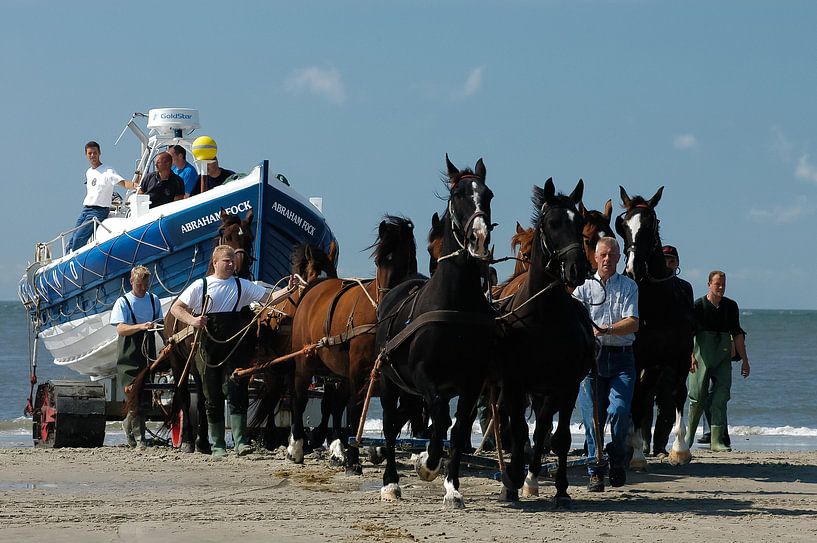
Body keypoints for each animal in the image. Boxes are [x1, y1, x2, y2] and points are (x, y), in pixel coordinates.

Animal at [286, 215, 420, 474]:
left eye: (408, 260)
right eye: (378, 261)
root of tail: (314, 289)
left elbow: (400, 412)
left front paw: (368, 451)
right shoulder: (357, 368)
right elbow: (356, 408)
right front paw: (354, 458)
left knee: (333, 405)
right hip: (305, 360)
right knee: (300, 398)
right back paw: (296, 446)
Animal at [372, 155, 494, 508]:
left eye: (488, 195)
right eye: (457, 195)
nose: (479, 238)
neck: (454, 302)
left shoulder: (471, 382)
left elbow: (457, 428)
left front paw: (452, 486)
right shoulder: (425, 376)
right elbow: (440, 417)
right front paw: (427, 464)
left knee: (407, 417)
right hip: (389, 381)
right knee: (389, 423)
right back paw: (391, 482)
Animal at [490, 178, 592, 506]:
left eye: (580, 223)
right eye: (552, 223)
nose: (578, 269)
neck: (542, 316)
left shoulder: (567, 385)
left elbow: (558, 438)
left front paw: (560, 488)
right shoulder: (514, 384)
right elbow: (519, 431)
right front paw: (510, 483)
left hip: (546, 390)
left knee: (544, 428)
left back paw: (533, 477)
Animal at [616, 186, 692, 468]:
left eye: (651, 224)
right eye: (623, 225)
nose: (632, 270)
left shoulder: (680, 357)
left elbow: (678, 393)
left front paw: (680, 450)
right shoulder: (637, 358)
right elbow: (636, 400)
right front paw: (637, 454)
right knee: (638, 398)